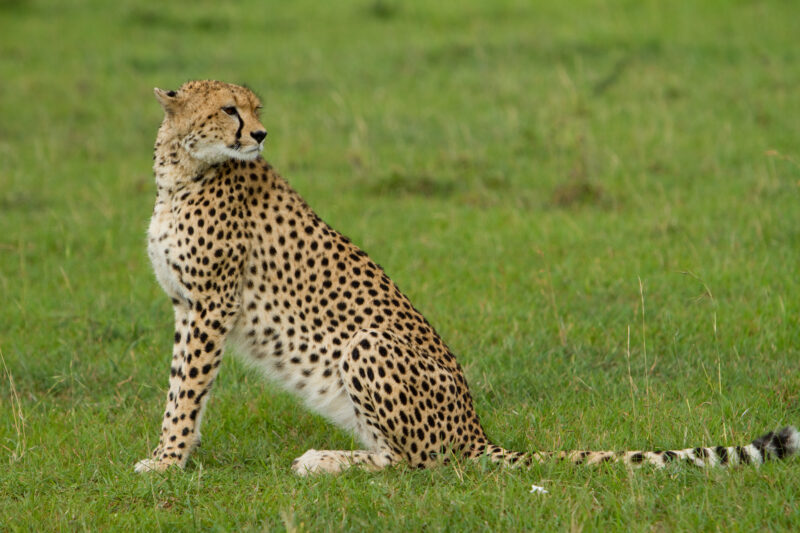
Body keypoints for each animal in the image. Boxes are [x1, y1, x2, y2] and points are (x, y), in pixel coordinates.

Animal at [134, 80, 798, 476]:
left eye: (255, 109)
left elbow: (185, 390)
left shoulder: (210, 305)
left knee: (418, 464)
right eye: (229, 109)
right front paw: (176, 454)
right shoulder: (188, 305)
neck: (182, 171)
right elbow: (183, 385)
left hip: (367, 343)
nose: (261, 133)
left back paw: (324, 460)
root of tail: (475, 427)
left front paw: (165, 462)